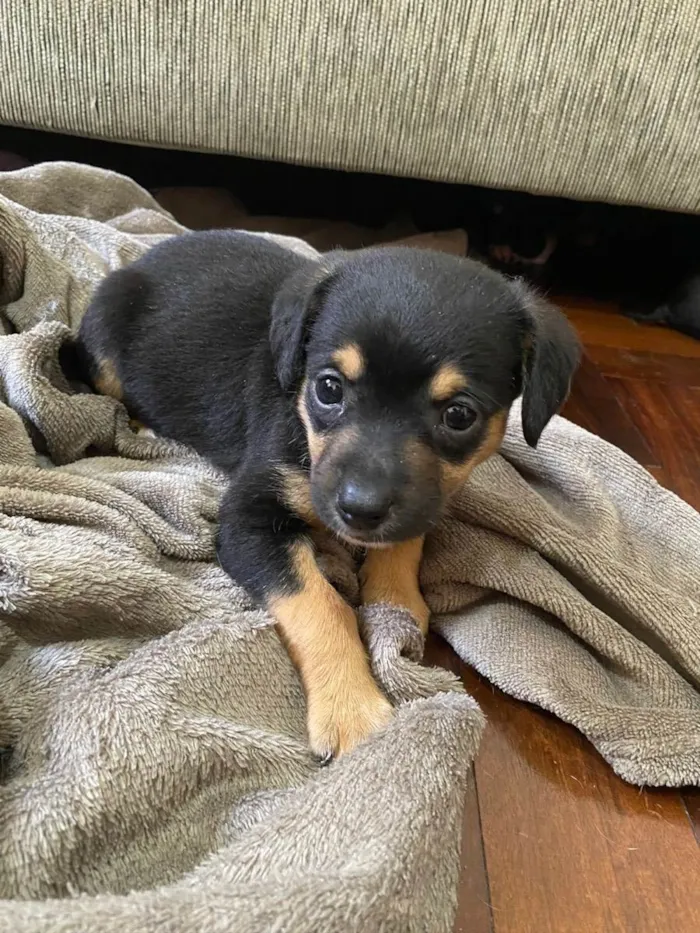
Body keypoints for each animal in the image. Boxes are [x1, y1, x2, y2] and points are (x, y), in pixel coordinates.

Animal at [74, 231, 584, 756]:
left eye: (460, 415)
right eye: (328, 388)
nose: (360, 509)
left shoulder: (422, 502)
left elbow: (403, 543)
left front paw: (396, 603)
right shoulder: (247, 520)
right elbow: (323, 604)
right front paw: (350, 707)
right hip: (106, 341)